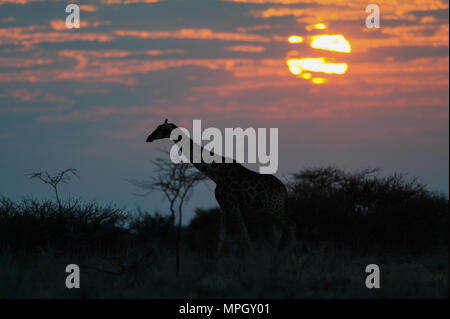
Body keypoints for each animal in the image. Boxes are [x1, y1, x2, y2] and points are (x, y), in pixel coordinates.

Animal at [146, 119, 298, 256]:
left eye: (161, 129)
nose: (149, 138)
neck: (215, 174)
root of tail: (284, 190)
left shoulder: (233, 205)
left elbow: (243, 233)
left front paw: (252, 256)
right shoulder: (223, 206)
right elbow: (222, 235)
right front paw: (217, 259)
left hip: (274, 207)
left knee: (290, 226)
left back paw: (291, 253)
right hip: (270, 209)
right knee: (278, 230)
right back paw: (275, 254)